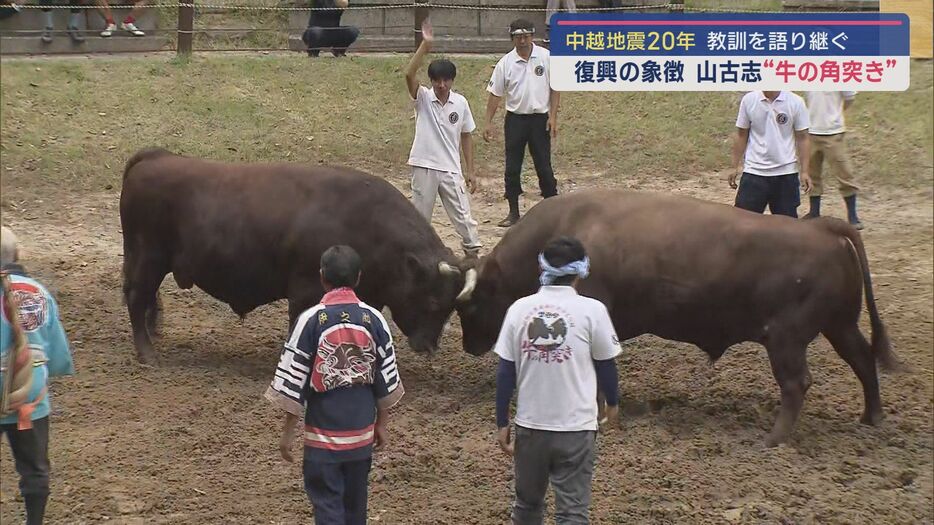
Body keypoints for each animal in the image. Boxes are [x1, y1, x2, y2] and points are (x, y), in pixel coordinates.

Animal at [458, 186, 904, 444]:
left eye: (473, 304)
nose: (468, 346)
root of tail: (821, 228)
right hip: (840, 326)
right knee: (863, 360)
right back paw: (871, 418)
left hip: (786, 340)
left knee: (797, 384)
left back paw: (773, 439)